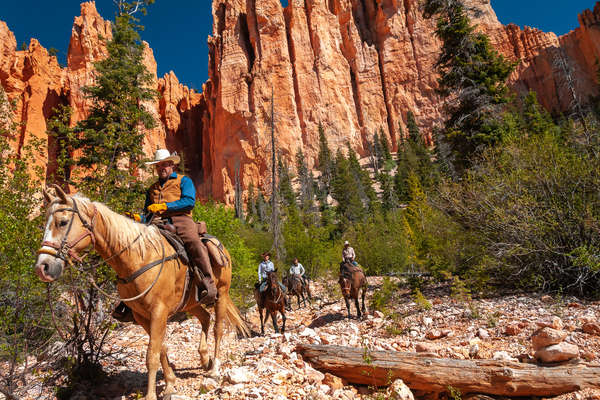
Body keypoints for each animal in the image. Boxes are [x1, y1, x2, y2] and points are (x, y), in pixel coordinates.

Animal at [34, 188, 250, 400]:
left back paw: (214, 369)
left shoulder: (158, 312)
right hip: (191, 302)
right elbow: (160, 348)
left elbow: (151, 355)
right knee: (205, 317)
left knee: (218, 328)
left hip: (221, 293)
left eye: (62, 222)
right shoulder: (141, 315)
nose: (42, 267)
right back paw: (205, 358)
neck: (138, 258)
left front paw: (152, 394)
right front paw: (170, 384)